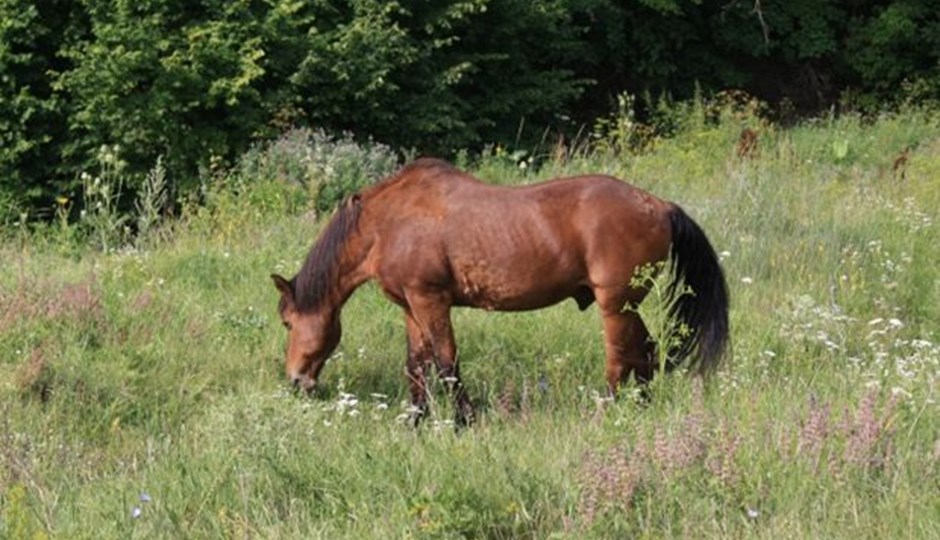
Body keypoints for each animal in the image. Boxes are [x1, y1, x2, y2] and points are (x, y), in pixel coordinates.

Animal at [268, 156, 732, 426]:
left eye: (288, 322)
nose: (295, 381)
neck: (386, 223)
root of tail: (660, 206)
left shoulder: (431, 300)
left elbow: (446, 361)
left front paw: (464, 420)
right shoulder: (410, 306)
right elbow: (417, 365)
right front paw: (416, 420)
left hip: (615, 304)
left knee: (621, 358)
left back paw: (608, 411)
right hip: (628, 306)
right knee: (647, 352)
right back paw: (641, 406)